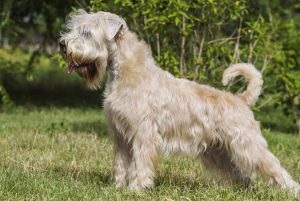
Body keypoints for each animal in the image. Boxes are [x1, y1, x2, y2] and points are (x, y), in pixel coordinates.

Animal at [59, 9, 300, 195]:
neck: (125, 73)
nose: (62, 44)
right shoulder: (120, 136)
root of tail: (241, 100)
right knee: (241, 175)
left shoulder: (143, 134)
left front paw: (136, 188)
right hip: (218, 151)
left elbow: (140, 163)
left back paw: (291, 190)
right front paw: (117, 188)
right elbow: (121, 164)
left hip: (248, 145)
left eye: (87, 32)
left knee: (274, 168)